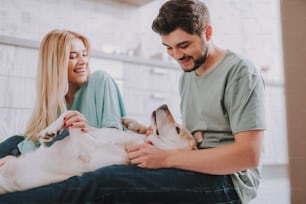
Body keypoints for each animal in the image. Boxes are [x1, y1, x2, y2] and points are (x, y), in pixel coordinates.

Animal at [0, 105, 196, 194]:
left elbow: (76, 129)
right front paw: (49, 131)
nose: (164, 105)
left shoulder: (86, 150)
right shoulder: (91, 131)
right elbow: (72, 113)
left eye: (178, 129)